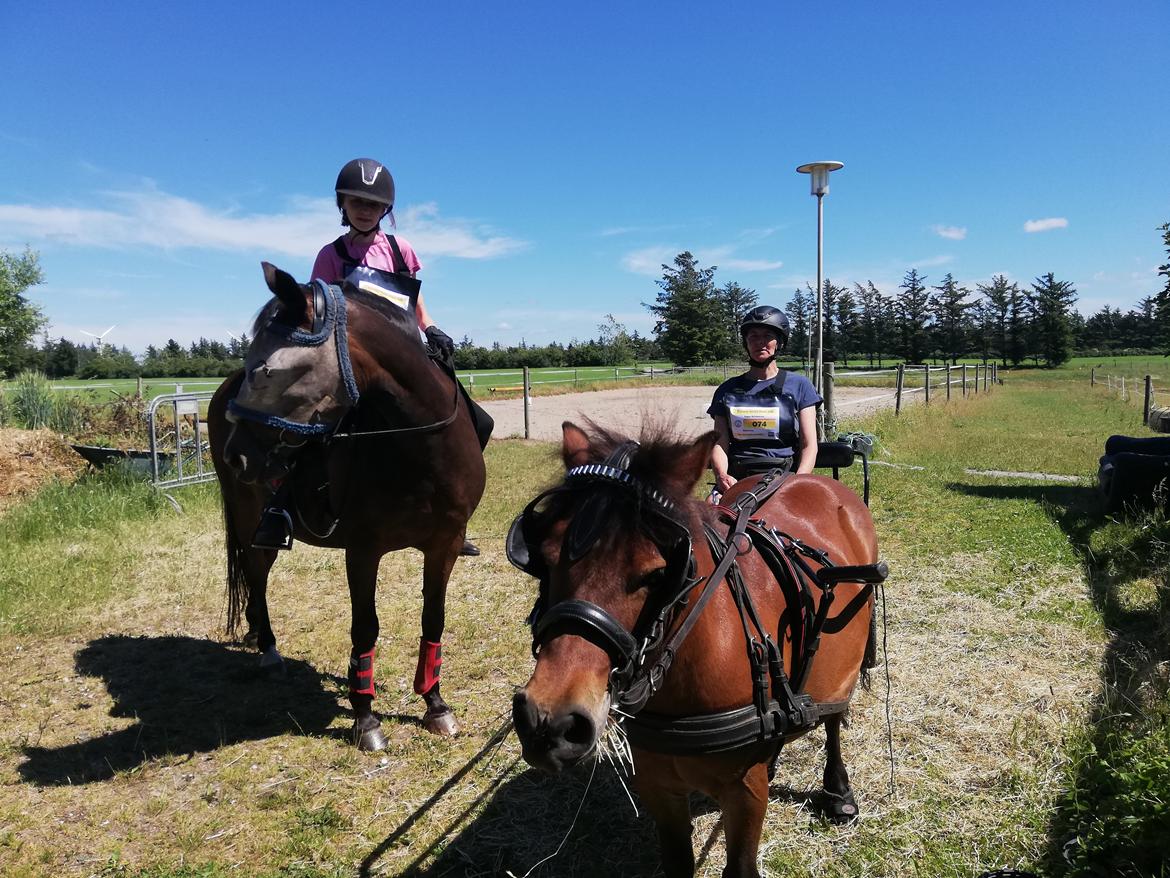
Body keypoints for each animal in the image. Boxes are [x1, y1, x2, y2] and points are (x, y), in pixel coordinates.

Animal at [207, 264, 484, 753]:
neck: (420, 448)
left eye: (265, 370)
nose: (236, 454)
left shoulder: (444, 544)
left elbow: (434, 619)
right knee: (257, 574)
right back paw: (269, 649)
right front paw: (365, 718)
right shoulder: (363, 552)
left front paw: (435, 704)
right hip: (248, 517)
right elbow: (365, 628)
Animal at [507, 423, 879, 875]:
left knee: (834, 716)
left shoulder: (744, 794)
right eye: (543, 558)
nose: (549, 722)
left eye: (656, 574)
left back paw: (838, 790)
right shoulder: (659, 787)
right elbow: (677, 861)